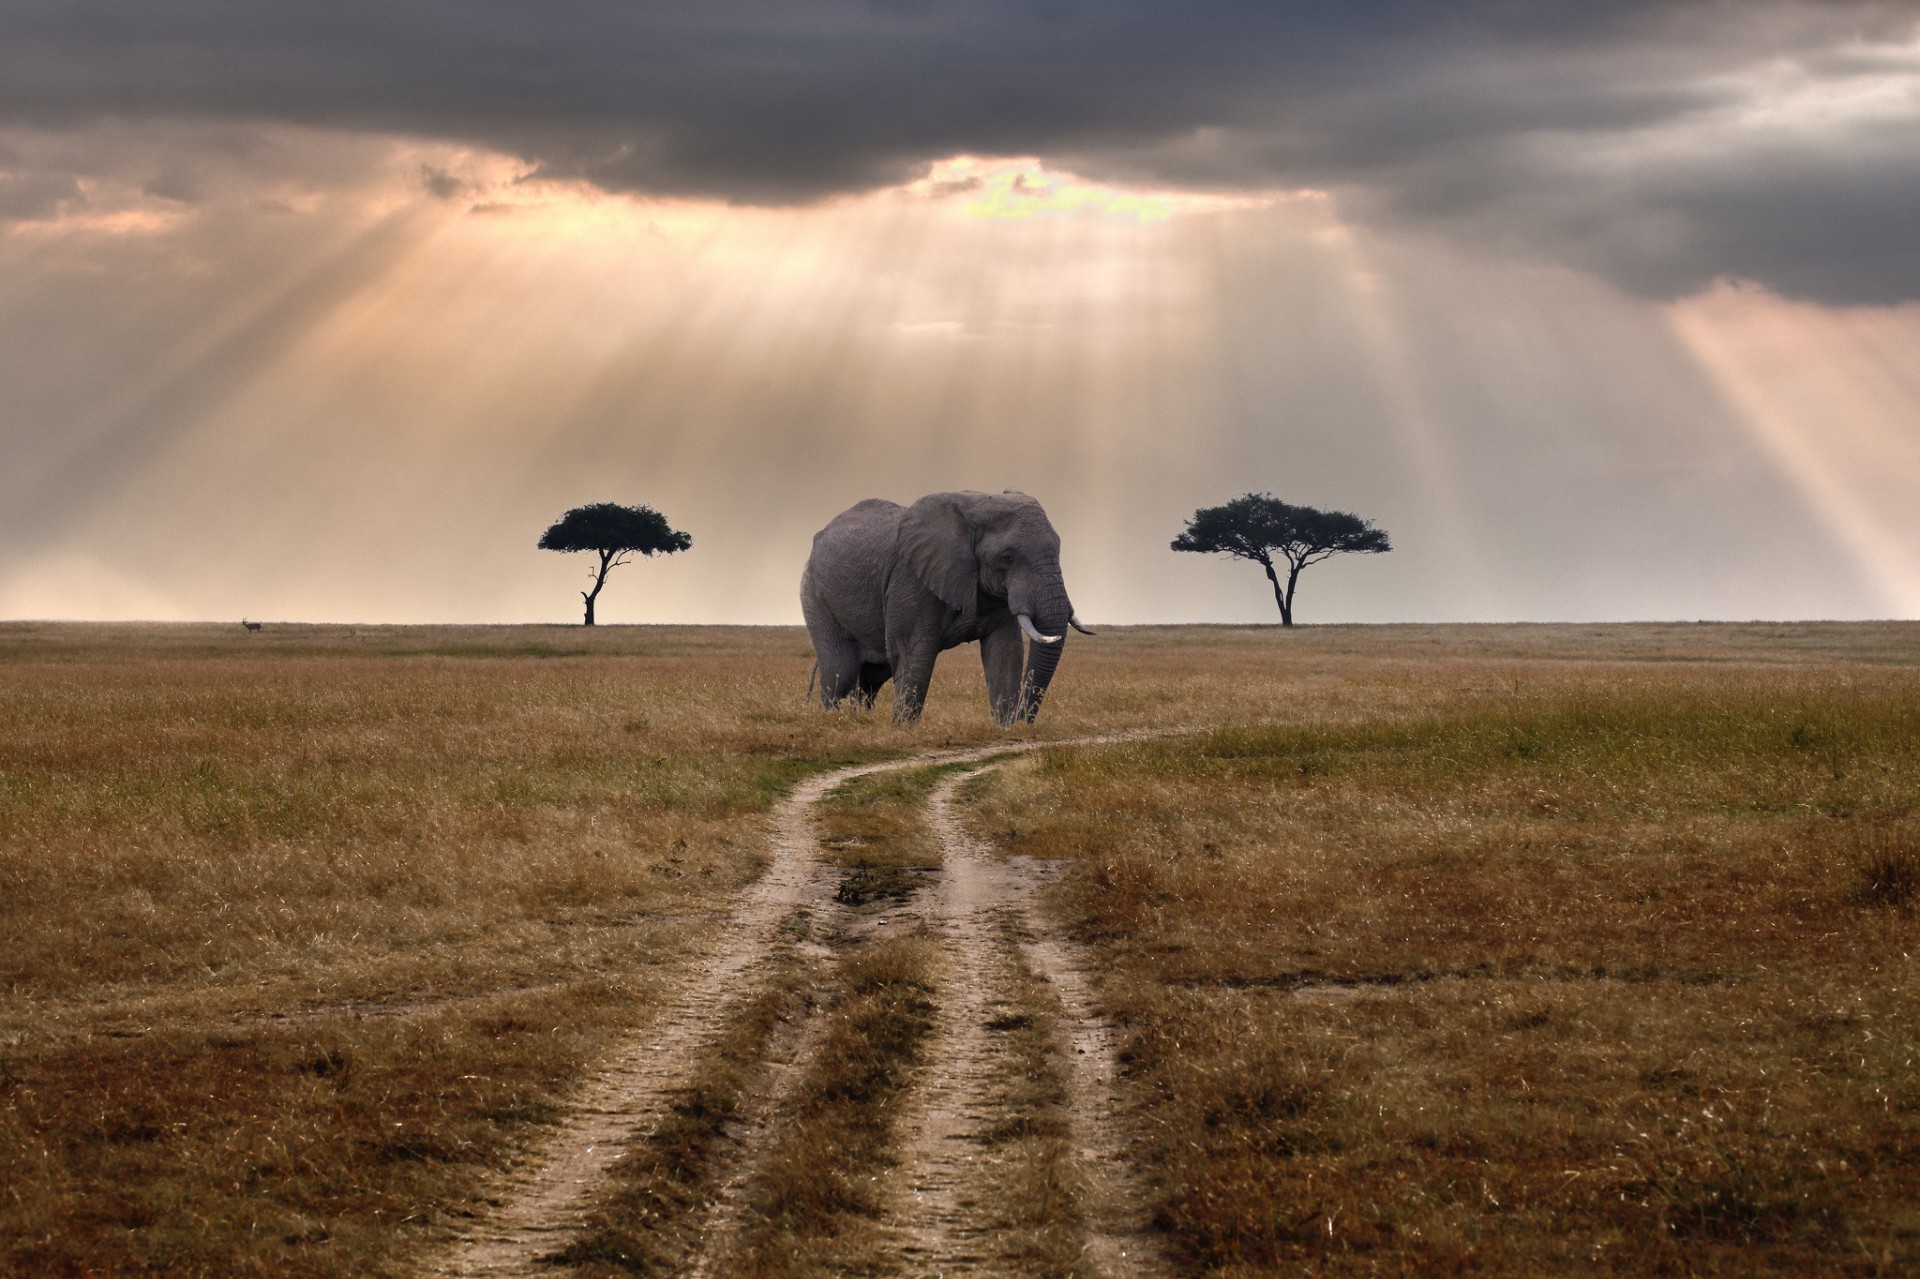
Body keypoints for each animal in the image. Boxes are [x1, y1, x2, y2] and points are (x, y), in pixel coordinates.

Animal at [798, 487, 1098, 722]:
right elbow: (914, 654)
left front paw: (1004, 729)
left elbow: (1005, 653)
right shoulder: (912, 578)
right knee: (841, 672)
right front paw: (903, 731)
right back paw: (833, 723)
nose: (1022, 719)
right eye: (1007, 557)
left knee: (871, 678)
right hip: (815, 595)